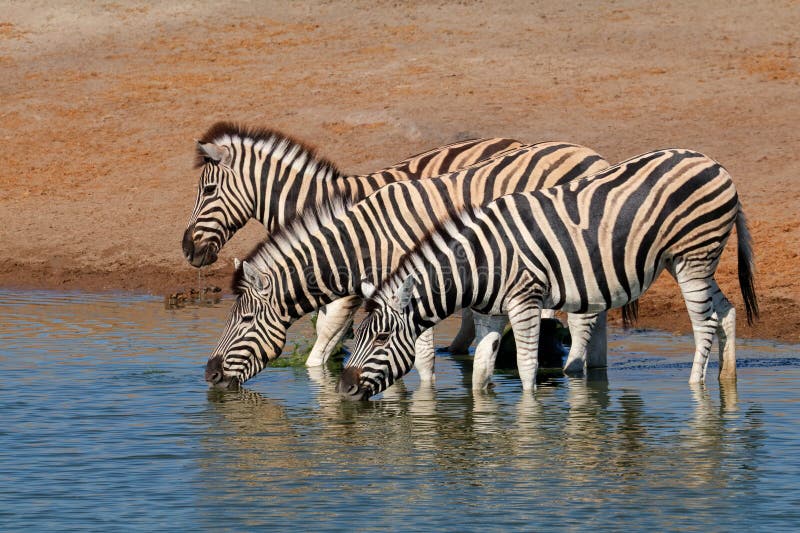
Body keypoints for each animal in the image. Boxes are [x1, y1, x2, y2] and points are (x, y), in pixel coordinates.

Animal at [183, 122, 524, 364]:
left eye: (209, 190)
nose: (187, 249)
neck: (313, 204)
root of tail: (511, 141)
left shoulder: (348, 284)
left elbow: (327, 331)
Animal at [203, 143, 608, 388]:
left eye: (244, 320)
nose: (209, 375)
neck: (365, 242)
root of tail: (592, 154)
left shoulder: (414, 294)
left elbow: (420, 359)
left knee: (581, 321)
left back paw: (574, 374)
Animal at [340, 147, 764, 400]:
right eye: (355, 336)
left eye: (380, 339)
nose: (343, 388)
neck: (479, 264)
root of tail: (712, 162)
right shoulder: (489, 313)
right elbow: (480, 372)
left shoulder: (525, 301)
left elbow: (527, 369)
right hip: (693, 262)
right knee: (726, 312)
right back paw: (727, 381)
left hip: (693, 257)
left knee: (704, 324)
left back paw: (697, 389)